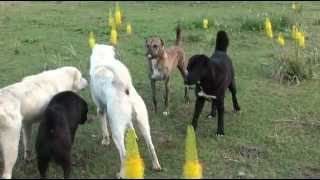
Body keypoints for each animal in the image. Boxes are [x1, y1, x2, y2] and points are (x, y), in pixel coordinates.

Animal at [89, 44, 160, 178]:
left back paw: (121, 174)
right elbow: (130, 126)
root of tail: (124, 86)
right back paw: (156, 166)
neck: (102, 58)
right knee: (151, 146)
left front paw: (105, 141)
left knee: (124, 154)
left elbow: (104, 129)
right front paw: (133, 136)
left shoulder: (100, 110)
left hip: (116, 130)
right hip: (143, 124)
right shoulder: (128, 119)